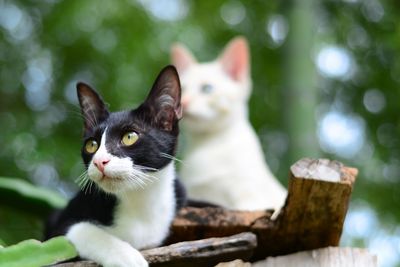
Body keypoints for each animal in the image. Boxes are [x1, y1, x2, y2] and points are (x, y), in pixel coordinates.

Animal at [44, 65, 185, 267]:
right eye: (91, 144)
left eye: (129, 137)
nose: (99, 161)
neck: (137, 200)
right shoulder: (58, 224)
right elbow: (77, 231)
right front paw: (126, 256)